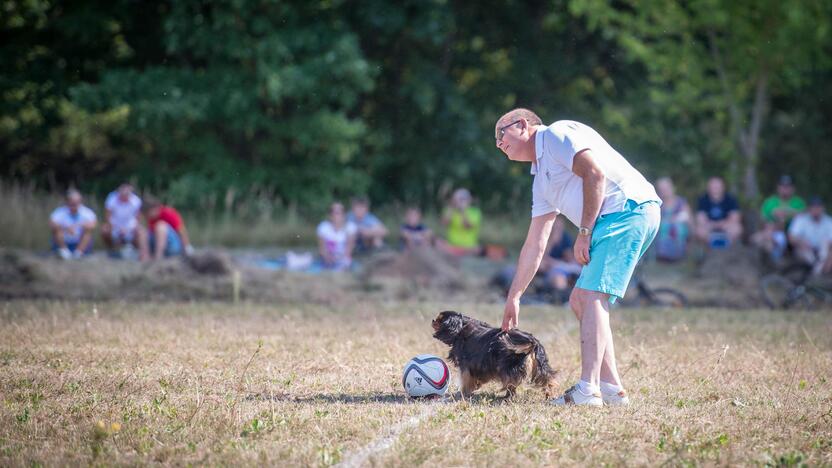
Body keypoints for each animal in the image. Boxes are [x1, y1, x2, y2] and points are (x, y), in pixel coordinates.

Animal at [428, 312, 560, 396]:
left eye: (440, 320)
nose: (432, 320)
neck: (461, 327)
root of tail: (531, 341)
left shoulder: (468, 364)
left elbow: (467, 379)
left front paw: (463, 393)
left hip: (508, 366)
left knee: (511, 384)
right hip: (540, 364)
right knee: (548, 378)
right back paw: (550, 393)